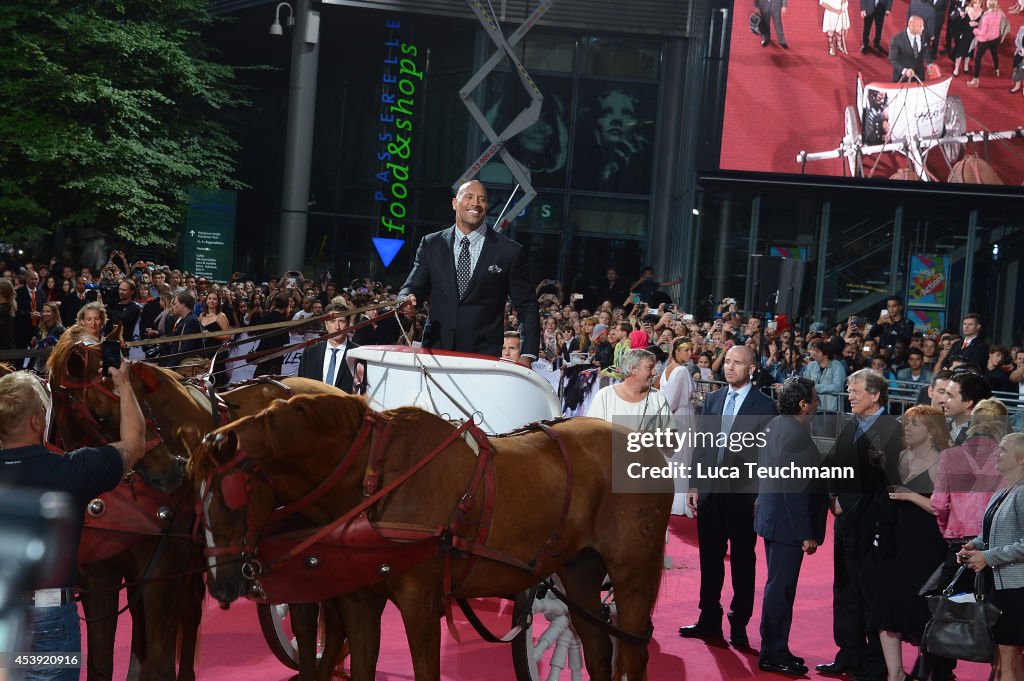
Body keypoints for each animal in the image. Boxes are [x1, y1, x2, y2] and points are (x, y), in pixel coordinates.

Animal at [46, 333, 344, 679]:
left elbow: (159, 663)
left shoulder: (162, 570)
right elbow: (101, 664)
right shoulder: (99, 579)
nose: (172, 471)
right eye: (101, 416)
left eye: (140, 399)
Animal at [193, 393, 671, 679]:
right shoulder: (358, 600)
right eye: (194, 498)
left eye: (231, 497)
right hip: (580, 567)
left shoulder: (419, 604)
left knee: (632, 651)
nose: (221, 584)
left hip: (633, 573)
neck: (375, 476)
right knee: (597, 644)